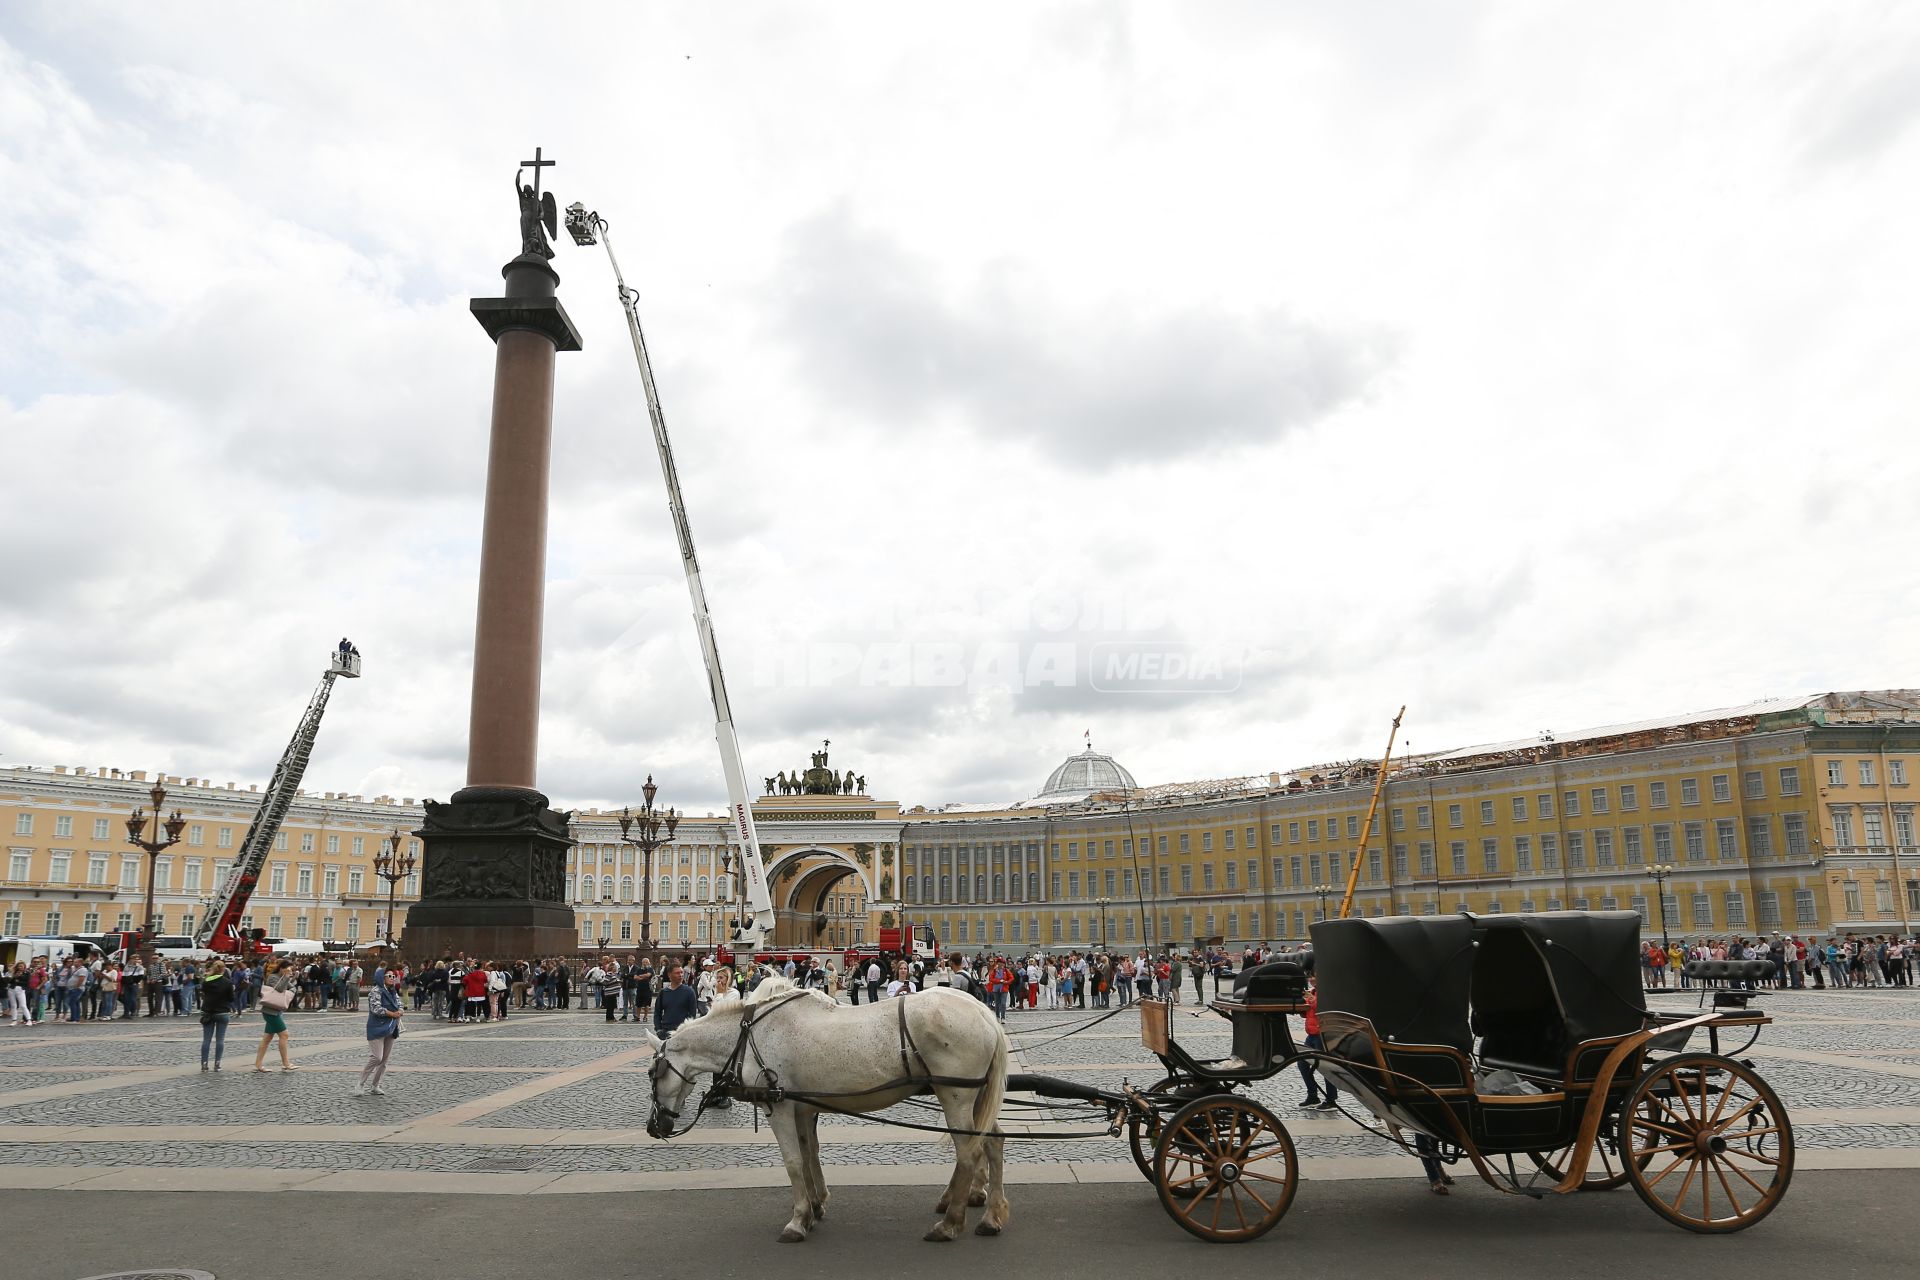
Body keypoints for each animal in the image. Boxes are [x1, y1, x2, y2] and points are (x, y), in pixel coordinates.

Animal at [645, 982, 1013, 1243]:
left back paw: (949, 1224)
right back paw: (991, 1217)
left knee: (969, 1153)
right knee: (993, 1142)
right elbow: (810, 1154)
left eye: (652, 1073)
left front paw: (798, 1220)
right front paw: (815, 1206)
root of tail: (983, 1012)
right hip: (975, 1097)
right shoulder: (802, 1106)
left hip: (956, 1096)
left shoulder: (779, 1106)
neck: (749, 1037)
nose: (653, 1126)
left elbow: (794, 1161)